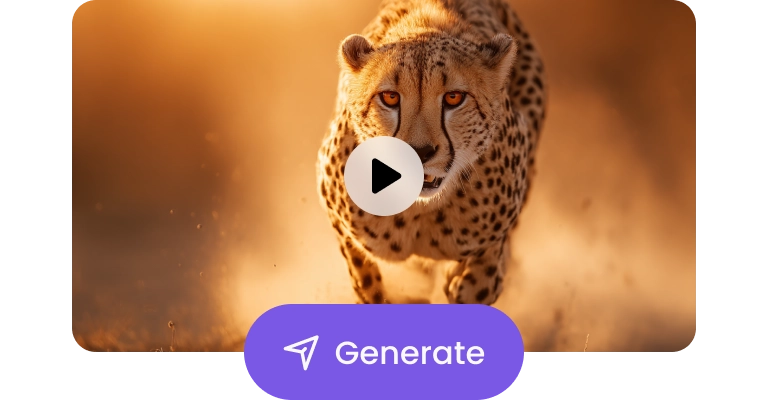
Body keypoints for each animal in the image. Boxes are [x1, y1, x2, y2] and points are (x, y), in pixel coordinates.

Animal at [316, 0, 547, 305]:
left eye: (454, 98)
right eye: (390, 97)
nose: (420, 151)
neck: (422, 209)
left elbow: (482, 279)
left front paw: (463, 282)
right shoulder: (336, 210)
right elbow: (365, 280)